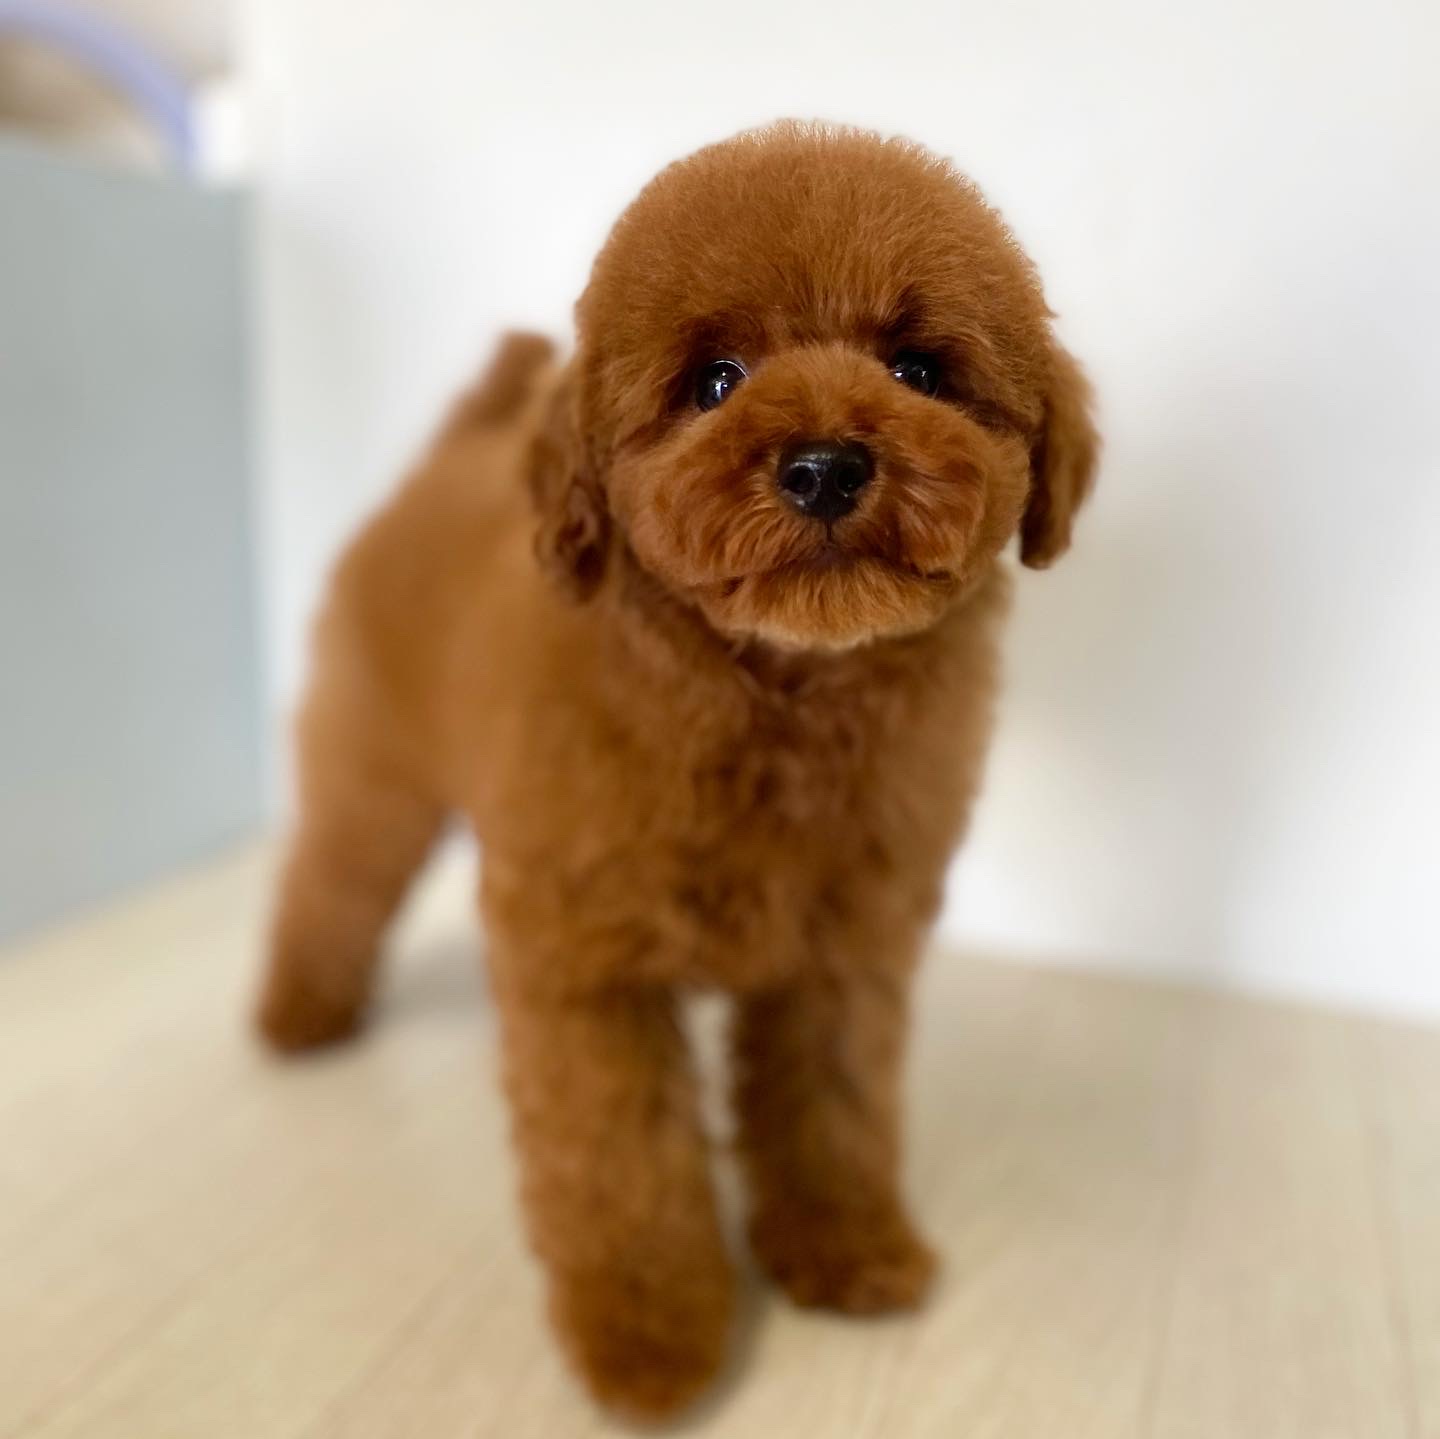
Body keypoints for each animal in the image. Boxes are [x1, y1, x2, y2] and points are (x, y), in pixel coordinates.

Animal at [256, 120, 1098, 1420]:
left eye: (918, 368)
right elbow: (620, 1163)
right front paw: (649, 1340)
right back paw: (301, 1009)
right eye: (714, 381)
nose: (824, 464)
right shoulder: (585, 966)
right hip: (373, 763)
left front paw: (846, 1251)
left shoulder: (842, 954)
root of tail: (449, 454)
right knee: (331, 875)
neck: (774, 691)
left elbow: (833, 1108)